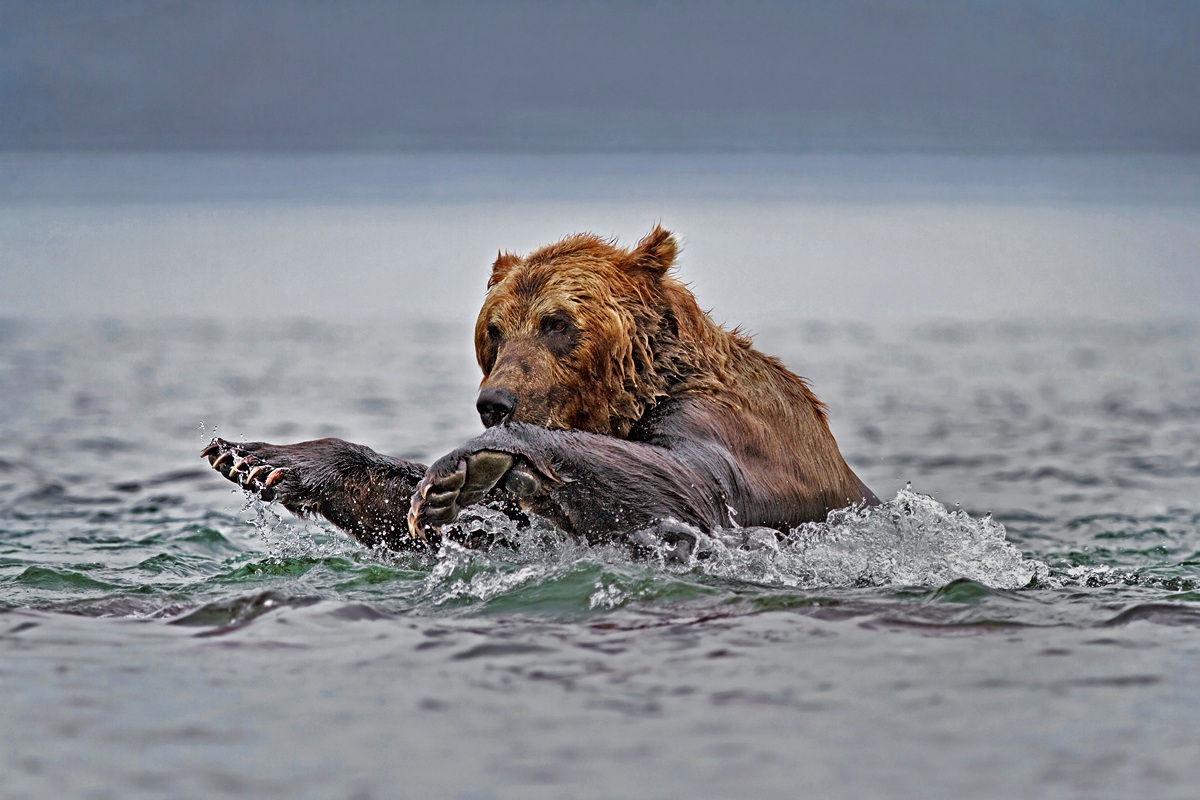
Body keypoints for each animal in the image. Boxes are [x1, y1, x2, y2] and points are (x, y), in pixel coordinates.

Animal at [203, 225, 878, 549]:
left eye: (557, 323)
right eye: (495, 330)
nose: (493, 404)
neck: (640, 392)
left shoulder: (733, 430)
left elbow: (693, 484)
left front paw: (457, 467)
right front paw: (260, 458)